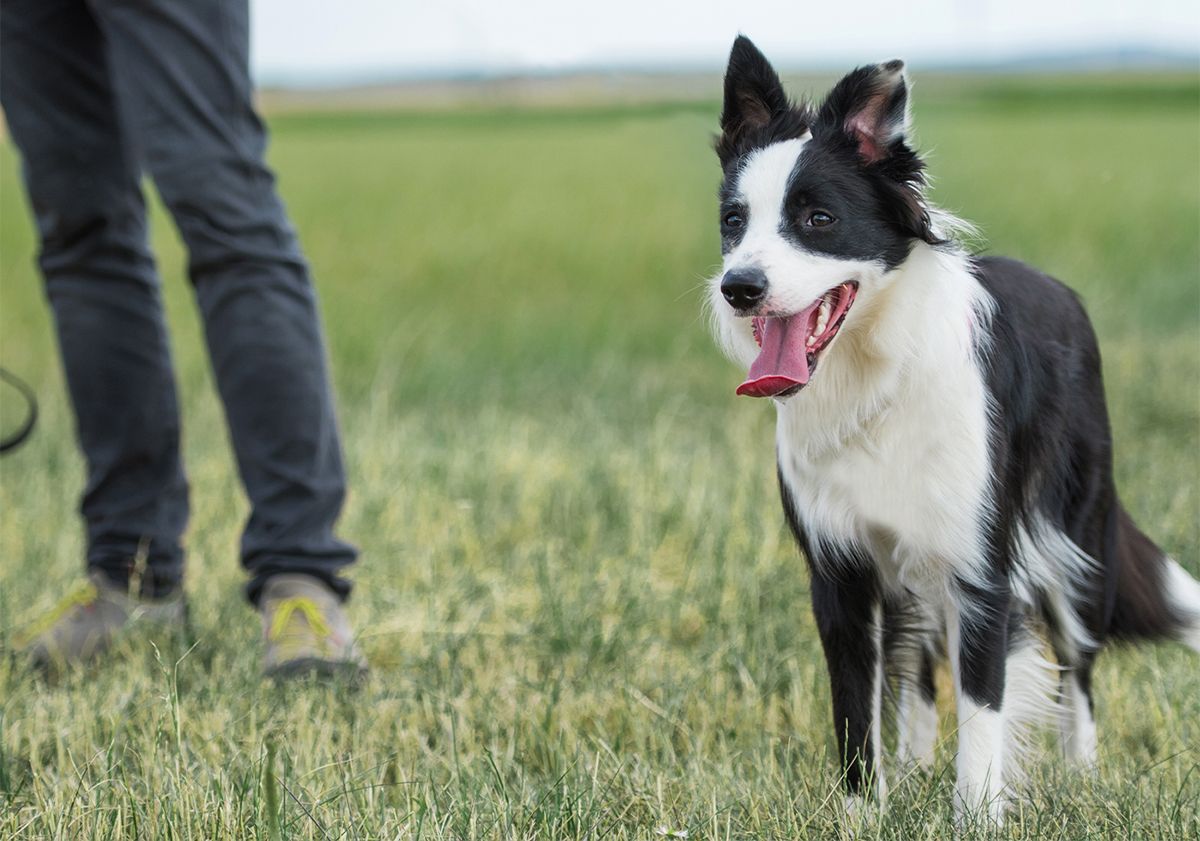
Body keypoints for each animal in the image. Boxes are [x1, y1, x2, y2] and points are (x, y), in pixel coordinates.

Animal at [705, 36, 1195, 815]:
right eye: (733, 221)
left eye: (818, 219)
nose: (739, 288)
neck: (876, 376)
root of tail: (1059, 288)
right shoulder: (840, 569)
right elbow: (856, 704)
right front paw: (862, 810)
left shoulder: (980, 564)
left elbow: (983, 704)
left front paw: (978, 812)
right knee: (919, 662)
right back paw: (913, 763)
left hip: (1077, 534)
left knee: (1078, 664)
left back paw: (1083, 773)